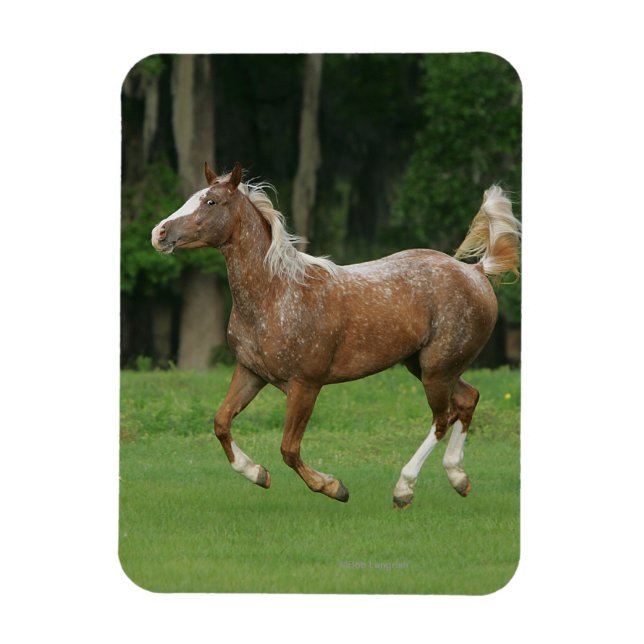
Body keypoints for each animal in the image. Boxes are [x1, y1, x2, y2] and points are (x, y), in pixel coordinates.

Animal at [151, 162, 520, 508]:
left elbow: (289, 448)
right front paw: (257, 474)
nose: (159, 232)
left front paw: (334, 487)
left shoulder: (305, 385)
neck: (275, 294)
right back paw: (458, 478)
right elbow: (221, 422)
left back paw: (404, 489)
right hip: (426, 366)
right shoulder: (250, 373)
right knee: (467, 400)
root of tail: (476, 272)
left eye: (211, 201)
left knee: (442, 419)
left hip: (436, 369)